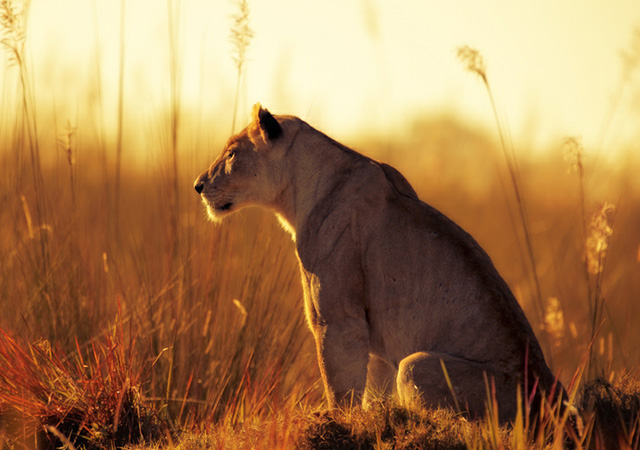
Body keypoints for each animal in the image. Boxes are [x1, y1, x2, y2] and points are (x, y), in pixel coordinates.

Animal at [192, 103, 564, 420]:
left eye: (232, 152)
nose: (197, 185)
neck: (299, 194)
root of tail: (552, 401)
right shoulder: (378, 339)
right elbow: (375, 385)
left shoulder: (338, 320)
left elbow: (340, 384)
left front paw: (335, 419)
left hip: (418, 364)